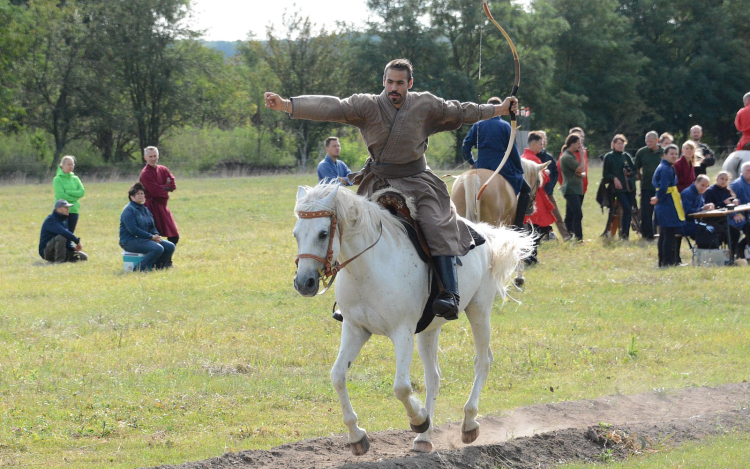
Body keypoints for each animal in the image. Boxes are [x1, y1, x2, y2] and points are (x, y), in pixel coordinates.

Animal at [294, 185, 536, 456]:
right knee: (434, 377)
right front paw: (357, 436)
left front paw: (418, 419)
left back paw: (468, 422)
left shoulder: (403, 332)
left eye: (323, 233)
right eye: (296, 234)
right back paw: (424, 439)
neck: (368, 268)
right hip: (430, 330)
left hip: (479, 311)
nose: (303, 283)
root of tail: (484, 232)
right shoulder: (355, 329)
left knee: (483, 362)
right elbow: (337, 376)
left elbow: (401, 387)